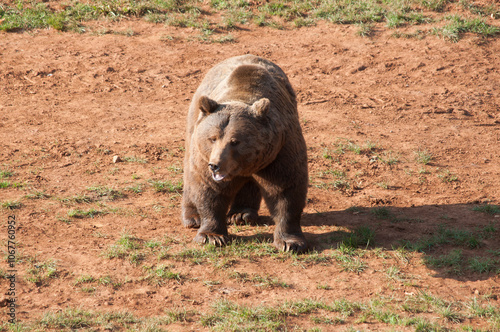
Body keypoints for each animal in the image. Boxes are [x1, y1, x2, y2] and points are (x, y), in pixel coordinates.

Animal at [183, 53, 308, 252]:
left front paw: (290, 242)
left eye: (235, 141)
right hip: (194, 121)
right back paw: (193, 218)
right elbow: (209, 190)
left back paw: (241, 214)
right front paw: (211, 236)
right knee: (189, 172)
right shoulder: (204, 157)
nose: (215, 165)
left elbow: (285, 192)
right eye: (212, 138)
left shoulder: (280, 151)